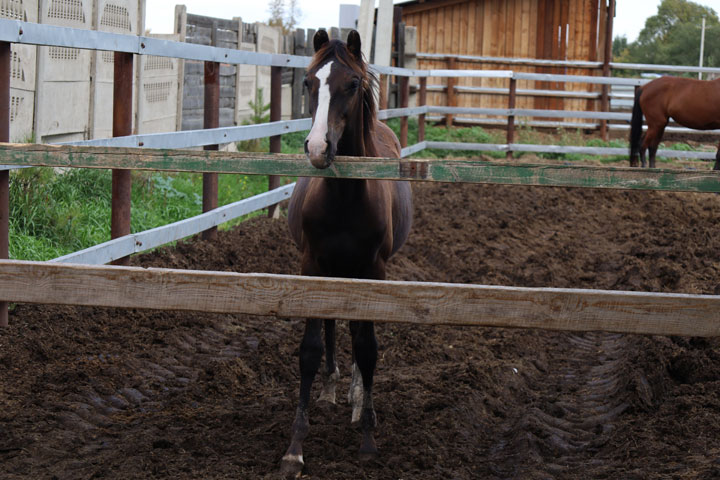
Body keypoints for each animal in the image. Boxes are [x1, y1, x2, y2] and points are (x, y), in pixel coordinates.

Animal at [282, 30, 414, 476]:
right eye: (309, 82)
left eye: (353, 84)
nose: (318, 147)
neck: (344, 195)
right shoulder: (311, 266)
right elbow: (310, 348)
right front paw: (295, 447)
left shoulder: (374, 271)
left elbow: (368, 348)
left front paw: (368, 437)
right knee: (333, 323)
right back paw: (331, 387)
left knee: (357, 331)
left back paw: (357, 398)